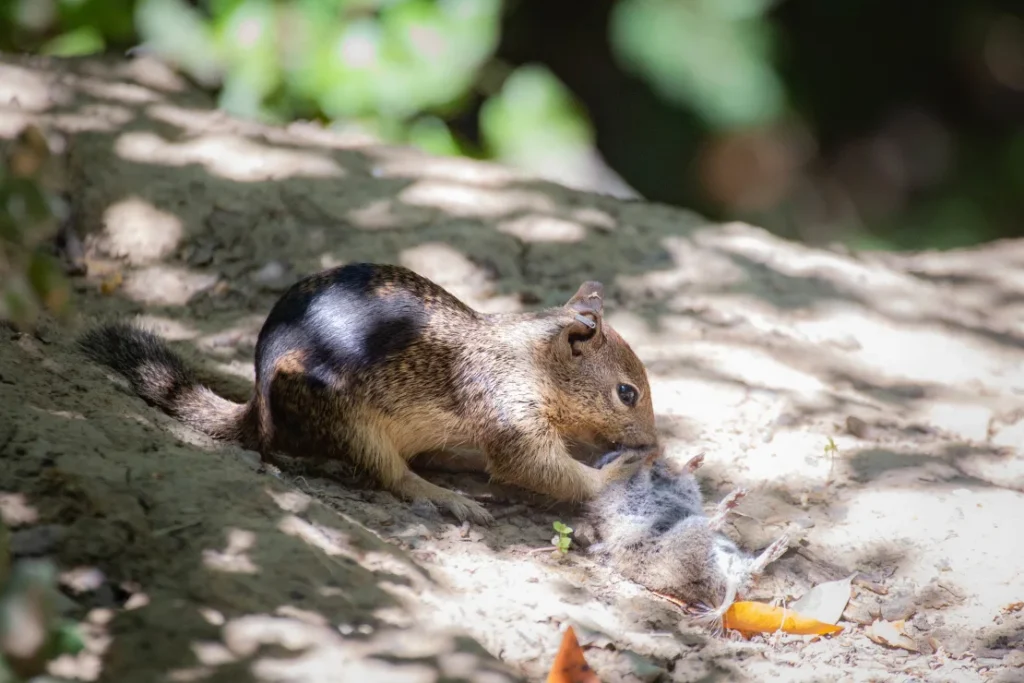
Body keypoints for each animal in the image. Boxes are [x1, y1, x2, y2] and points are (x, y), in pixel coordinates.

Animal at [77, 262, 659, 525]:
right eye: (627, 393)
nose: (655, 444)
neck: (530, 359)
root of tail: (257, 413)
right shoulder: (507, 406)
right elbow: (536, 465)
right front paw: (617, 473)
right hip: (349, 423)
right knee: (392, 476)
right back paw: (448, 496)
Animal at [580, 447, 790, 627]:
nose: (618, 452)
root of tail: (729, 579)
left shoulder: (681, 491)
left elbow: (685, 480)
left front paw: (694, 461)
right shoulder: (634, 492)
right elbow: (645, 477)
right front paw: (652, 460)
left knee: (753, 570)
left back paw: (778, 544)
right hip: (688, 533)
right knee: (709, 527)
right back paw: (729, 507)